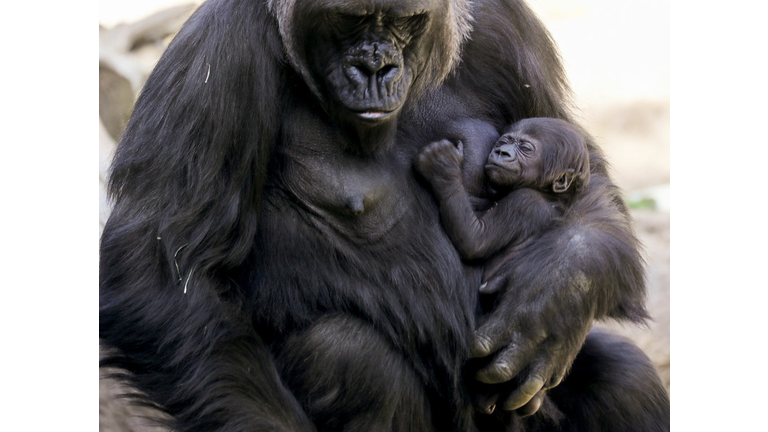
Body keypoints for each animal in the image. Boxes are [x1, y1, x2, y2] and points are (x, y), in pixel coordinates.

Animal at [414, 116, 588, 288]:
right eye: (504, 142)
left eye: (525, 148)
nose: (502, 152)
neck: (548, 193)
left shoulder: (524, 201)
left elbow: (475, 240)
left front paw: (443, 164)